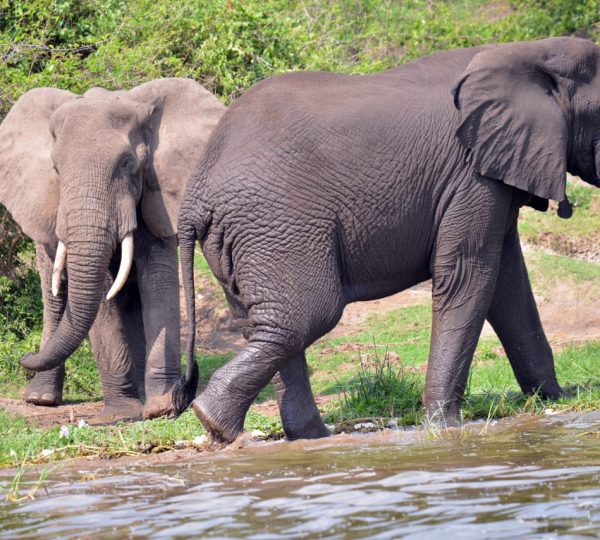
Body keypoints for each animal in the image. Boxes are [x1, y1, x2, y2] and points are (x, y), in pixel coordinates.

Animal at [0, 78, 225, 420]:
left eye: (127, 163)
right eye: (56, 168)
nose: (24, 355)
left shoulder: (155, 194)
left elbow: (157, 281)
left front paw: (159, 408)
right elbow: (103, 297)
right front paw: (121, 414)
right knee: (55, 296)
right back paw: (41, 399)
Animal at [177, 37, 600, 442]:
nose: (565, 394)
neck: (531, 51)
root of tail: (195, 193)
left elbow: (508, 284)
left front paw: (556, 399)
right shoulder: (469, 175)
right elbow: (469, 272)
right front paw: (444, 429)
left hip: (245, 239)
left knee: (268, 324)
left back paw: (294, 436)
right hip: (277, 224)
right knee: (305, 316)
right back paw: (221, 425)